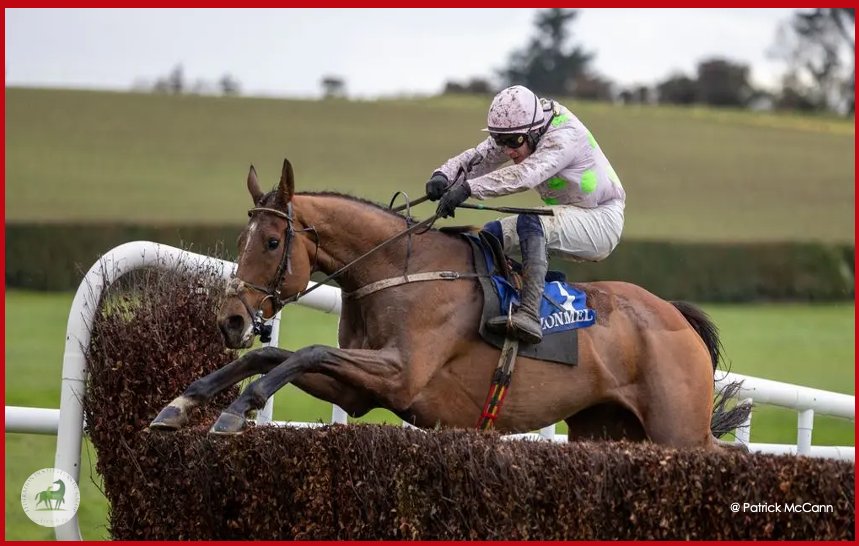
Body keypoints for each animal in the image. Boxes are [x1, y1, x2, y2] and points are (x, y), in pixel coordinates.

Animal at [151, 155, 748, 448]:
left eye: (273, 243)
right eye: (239, 241)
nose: (230, 319)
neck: (396, 269)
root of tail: (676, 317)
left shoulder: (402, 373)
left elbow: (307, 352)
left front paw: (235, 411)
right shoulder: (360, 390)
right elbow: (273, 356)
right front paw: (181, 403)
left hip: (677, 429)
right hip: (609, 428)